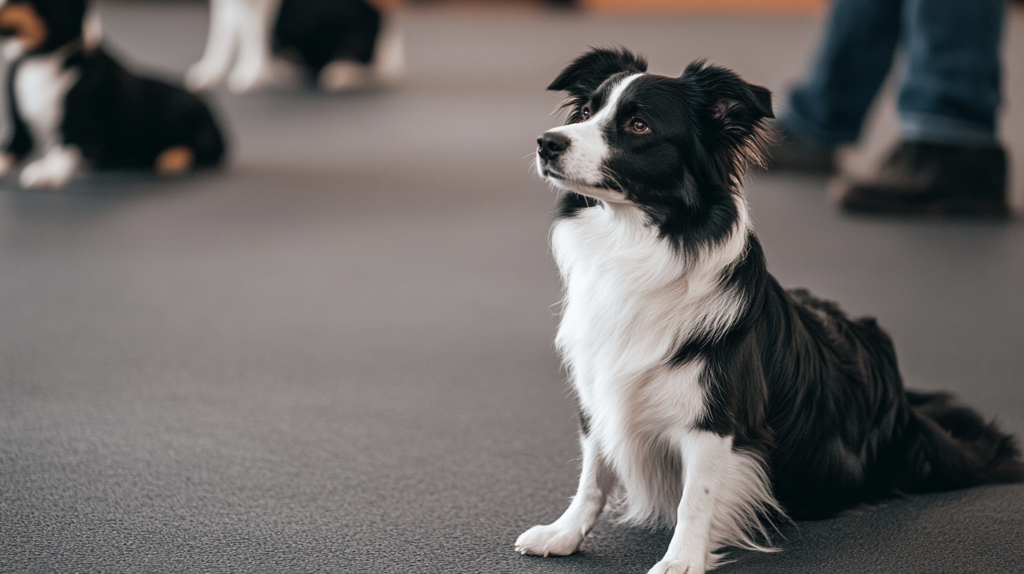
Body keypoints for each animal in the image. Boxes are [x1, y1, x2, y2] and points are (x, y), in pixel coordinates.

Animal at [0, 0, 226, 188]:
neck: (43, 62)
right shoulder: (20, 130)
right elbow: (10, 148)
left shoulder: (80, 127)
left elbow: (65, 149)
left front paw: (47, 172)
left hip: (197, 134)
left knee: (200, 152)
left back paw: (171, 159)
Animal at [186, 0, 401, 93]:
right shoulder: (224, 7)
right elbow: (220, 39)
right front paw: (208, 74)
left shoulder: (258, 7)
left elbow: (253, 37)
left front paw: (252, 75)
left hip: (358, 41)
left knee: (370, 68)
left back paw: (340, 74)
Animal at [520, 48, 1024, 572]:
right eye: (585, 112)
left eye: (638, 125)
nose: (546, 143)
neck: (635, 243)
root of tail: (901, 400)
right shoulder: (601, 393)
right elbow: (593, 474)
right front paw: (563, 533)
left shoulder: (716, 418)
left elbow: (695, 496)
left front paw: (682, 560)